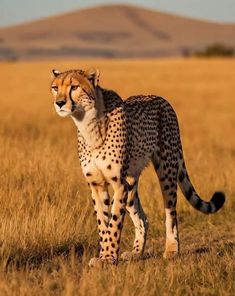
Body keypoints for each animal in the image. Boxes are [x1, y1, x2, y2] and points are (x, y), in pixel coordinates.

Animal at [50, 69, 225, 266]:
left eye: (74, 87)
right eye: (55, 88)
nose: (59, 103)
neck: (88, 124)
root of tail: (160, 98)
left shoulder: (119, 183)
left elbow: (114, 223)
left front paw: (109, 257)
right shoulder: (97, 184)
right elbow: (103, 223)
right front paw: (104, 255)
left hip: (167, 169)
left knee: (171, 213)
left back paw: (172, 249)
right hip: (132, 181)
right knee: (143, 218)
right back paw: (136, 253)